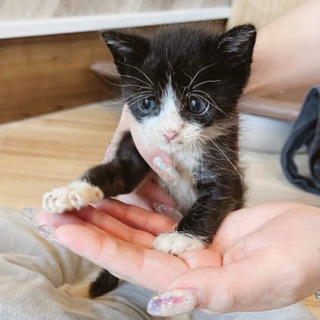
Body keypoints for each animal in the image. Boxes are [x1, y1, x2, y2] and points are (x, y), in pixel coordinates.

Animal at [43, 24, 258, 298]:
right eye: (147, 103)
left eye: (196, 104)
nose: (169, 132)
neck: (177, 153)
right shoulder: (137, 143)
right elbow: (115, 172)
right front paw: (71, 191)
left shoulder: (226, 164)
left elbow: (216, 198)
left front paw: (180, 238)